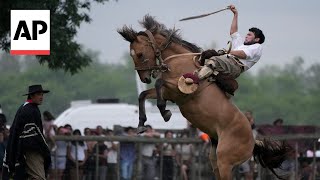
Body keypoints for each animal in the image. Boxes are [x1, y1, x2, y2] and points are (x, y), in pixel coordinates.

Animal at [118, 15, 292, 180]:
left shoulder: (178, 90)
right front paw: (141, 124)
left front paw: (164, 111)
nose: (145, 78)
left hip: (225, 162)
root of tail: (253, 140)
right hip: (215, 161)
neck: (180, 61)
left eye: (140, 54)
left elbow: (159, 83)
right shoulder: (170, 93)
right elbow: (143, 95)